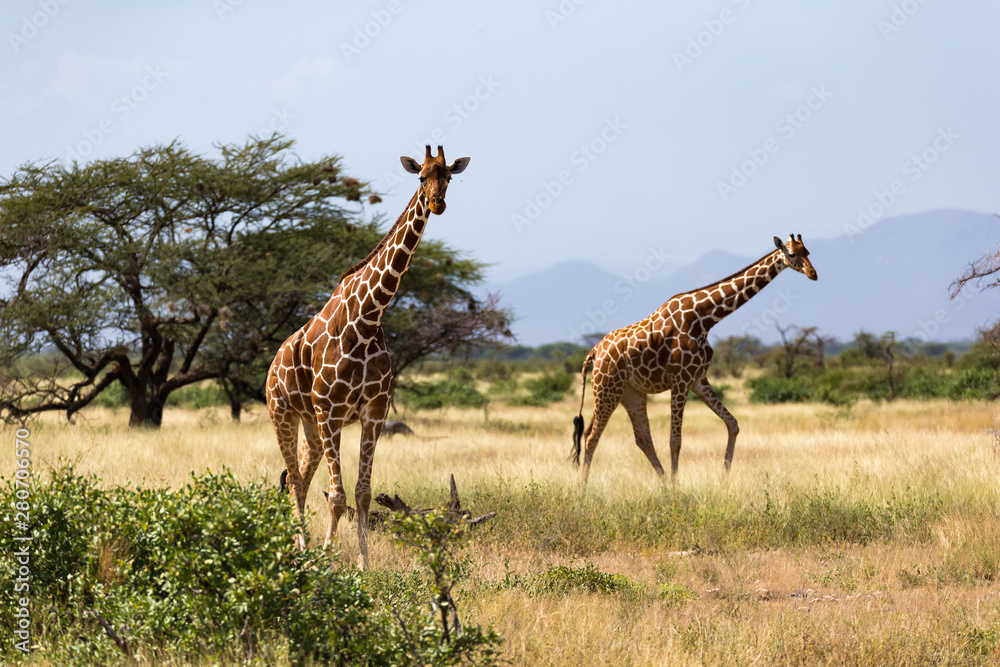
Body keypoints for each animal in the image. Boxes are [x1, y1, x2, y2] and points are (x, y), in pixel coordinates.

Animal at [266, 145, 470, 567]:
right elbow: (338, 496)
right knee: (294, 480)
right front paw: (328, 559)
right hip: (283, 414)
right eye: (420, 176)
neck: (369, 316)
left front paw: (363, 564)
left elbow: (361, 493)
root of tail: (273, 363)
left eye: (449, 177)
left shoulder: (373, 412)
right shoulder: (331, 411)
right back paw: (303, 551)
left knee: (301, 480)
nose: (437, 203)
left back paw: (302, 549)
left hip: (311, 423)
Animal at [571, 234, 818, 483]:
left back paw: (662, 484)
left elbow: (732, 424)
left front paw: (723, 478)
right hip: (607, 388)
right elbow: (675, 440)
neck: (704, 318)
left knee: (642, 438)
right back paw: (584, 487)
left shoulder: (698, 378)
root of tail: (594, 352)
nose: (813, 273)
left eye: (808, 252)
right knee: (591, 435)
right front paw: (677, 485)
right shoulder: (680, 380)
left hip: (631, 392)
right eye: (792, 254)